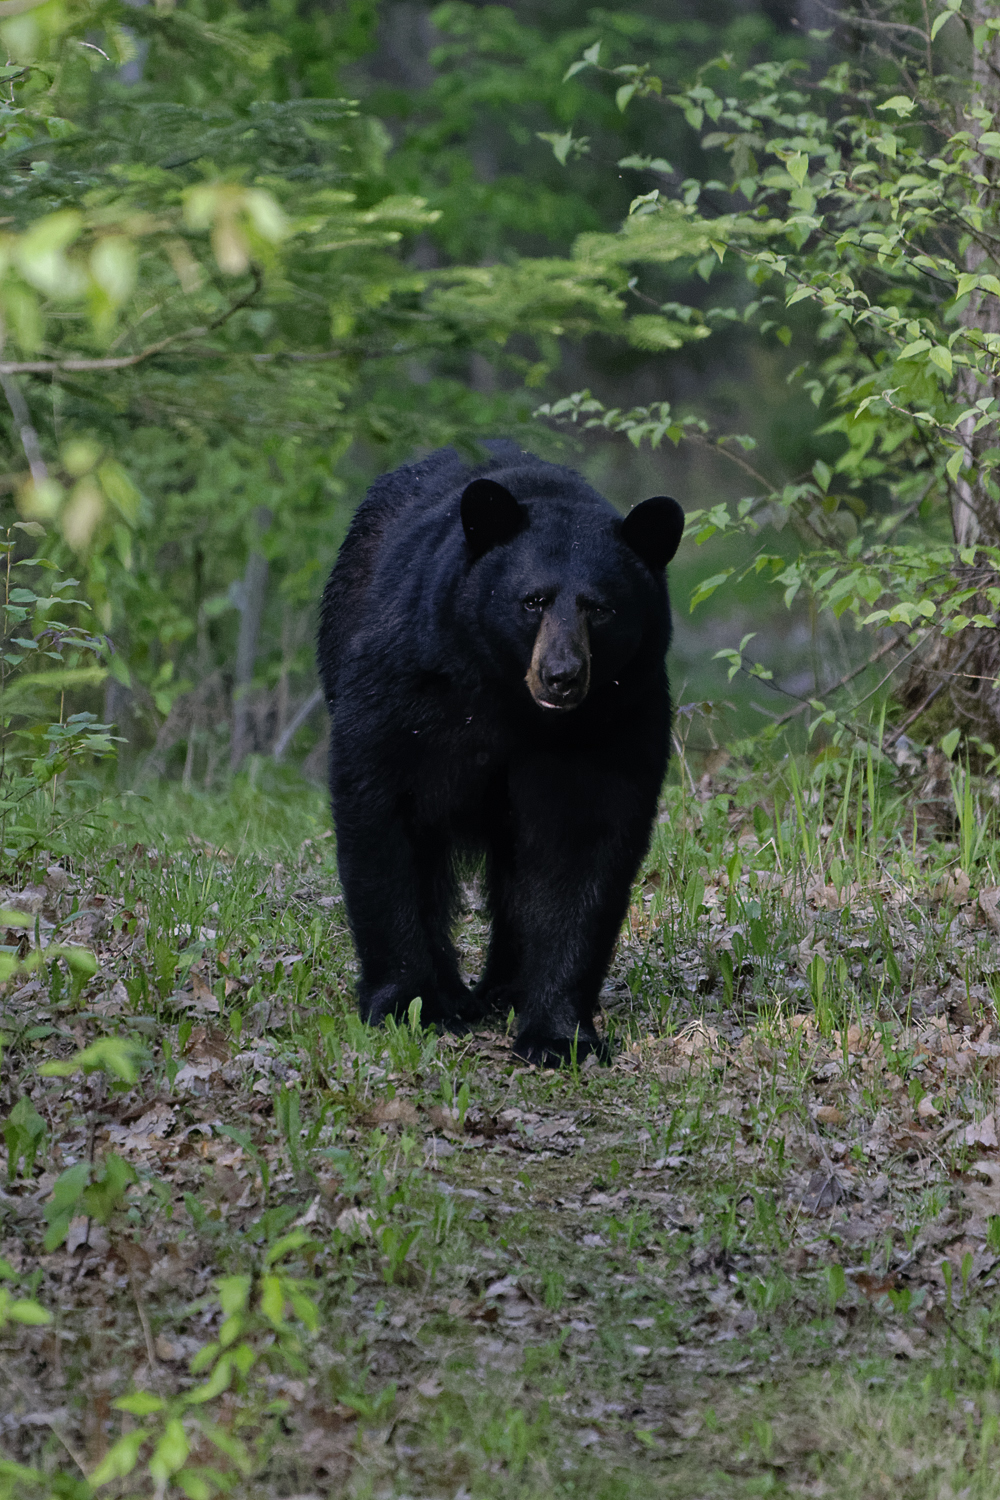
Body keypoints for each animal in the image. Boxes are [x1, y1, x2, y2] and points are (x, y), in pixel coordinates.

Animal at [317, 441, 684, 1065]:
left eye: (600, 608)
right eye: (532, 601)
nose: (562, 675)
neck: (514, 705)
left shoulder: (615, 722)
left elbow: (582, 846)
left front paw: (558, 1033)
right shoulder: (411, 685)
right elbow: (382, 813)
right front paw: (411, 1003)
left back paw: (505, 991)